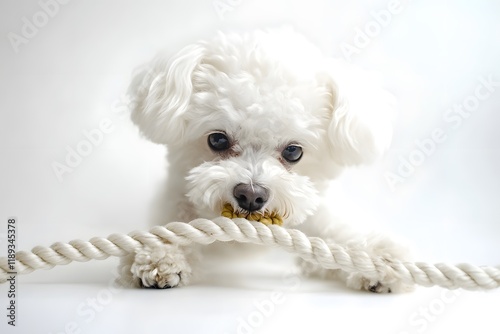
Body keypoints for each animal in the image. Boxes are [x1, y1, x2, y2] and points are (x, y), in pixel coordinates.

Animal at [118, 30, 414, 294]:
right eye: (217, 140)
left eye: (293, 152)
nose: (251, 195)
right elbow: (173, 228)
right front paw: (160, 253)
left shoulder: (317, 218)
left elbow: (339, 235)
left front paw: (377, 259)